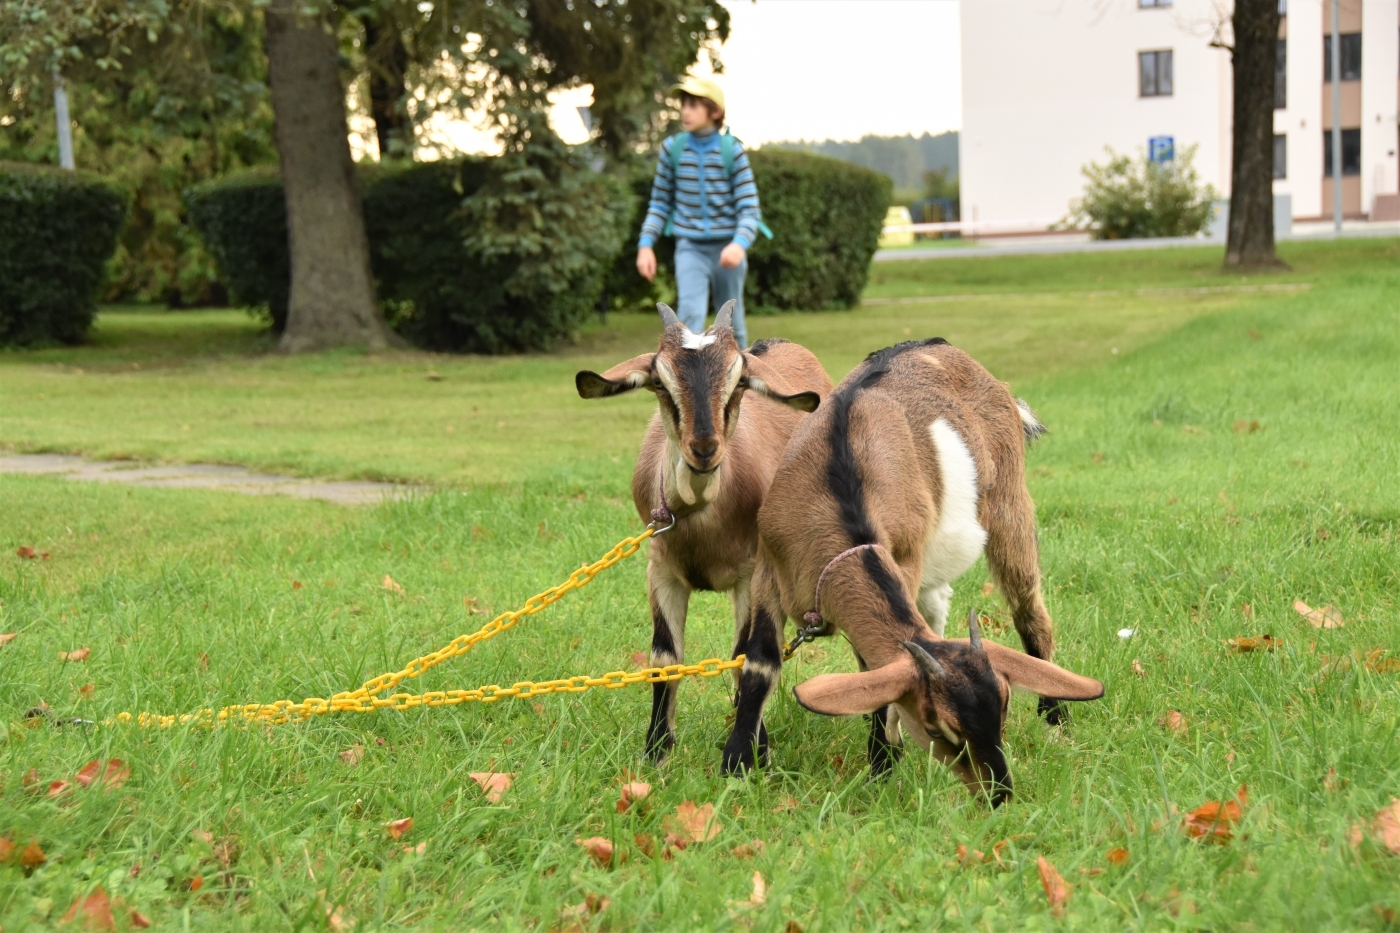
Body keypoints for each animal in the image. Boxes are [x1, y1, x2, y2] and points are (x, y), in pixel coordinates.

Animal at [576, 301, 834, 762]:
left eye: (739, 383)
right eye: (660, 383)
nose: (704, 448)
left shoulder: (752, 574)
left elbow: (742, 656)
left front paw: (754, 751)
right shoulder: (660, 569)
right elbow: (664, 658)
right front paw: (658, 749)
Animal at [722, 334, 1103, 801]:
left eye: (1004, 711)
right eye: (938, 728)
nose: (999, 792)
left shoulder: (904, 556)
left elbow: (873, 669)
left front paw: (882, 766)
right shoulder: (767, 569)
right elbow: (759, 662)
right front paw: (738, 765)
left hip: (1009, 503)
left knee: (1030, 613)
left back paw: (1056, 718)